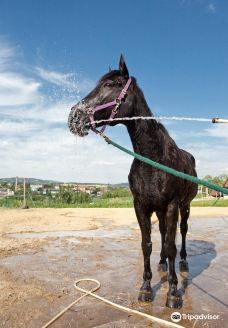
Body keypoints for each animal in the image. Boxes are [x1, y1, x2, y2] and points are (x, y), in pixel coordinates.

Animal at [68, 55, 198, 308]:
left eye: (110, 84)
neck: (153, 157)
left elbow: (171, 246)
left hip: (184, 206)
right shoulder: (141, 206)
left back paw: (183, 263)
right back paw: (162, 265)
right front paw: (146, 288)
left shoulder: (171, 206)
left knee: (182, 232)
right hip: (159, 210)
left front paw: (173, 293)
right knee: (163, 234)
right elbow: (147, 245)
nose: (74, 117)